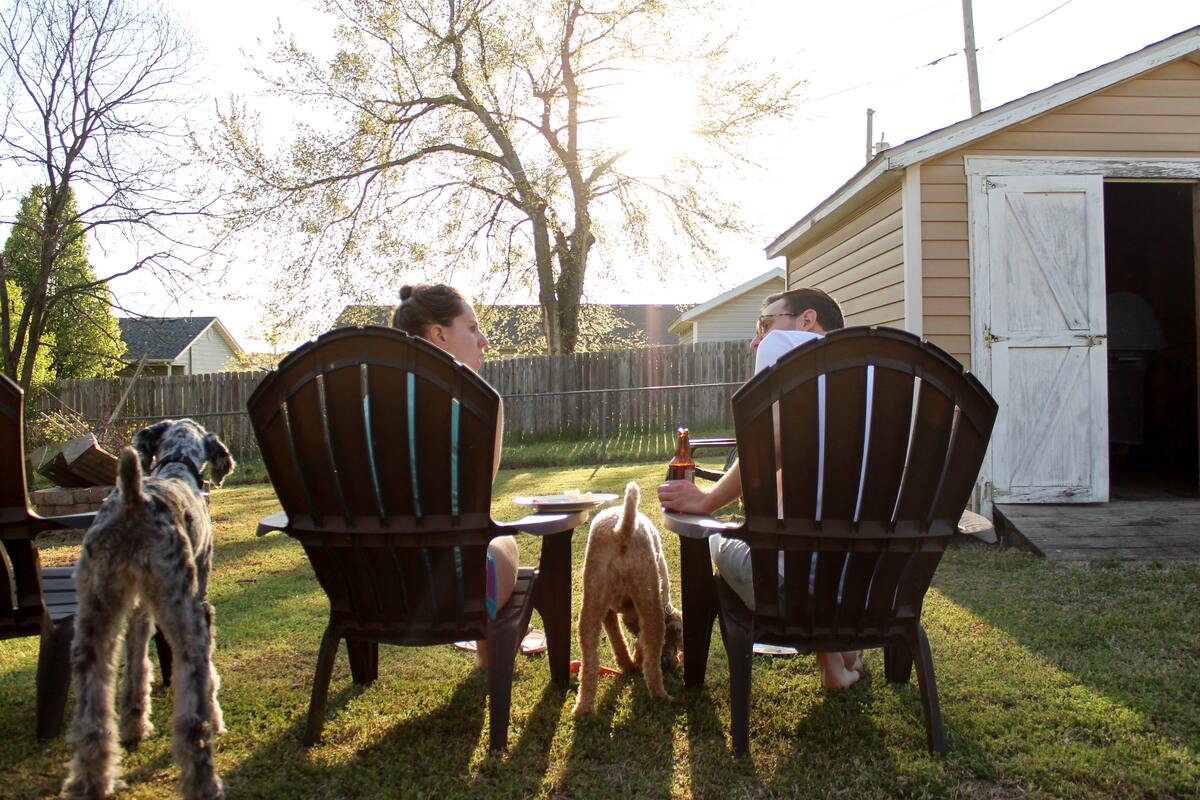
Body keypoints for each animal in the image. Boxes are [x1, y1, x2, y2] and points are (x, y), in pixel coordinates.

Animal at [62, 419, 235, 800]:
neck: (176, 466)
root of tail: (133, 501)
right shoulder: (200, 604)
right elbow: (209, 679)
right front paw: (217, 719)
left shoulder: (140, 614)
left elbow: (138, 667)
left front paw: (135, 723)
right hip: (185, 615)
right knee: (191, 714)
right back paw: (204, 783)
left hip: (95, 618)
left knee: (91, 713)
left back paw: (91, 780)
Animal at [573, 479, 681, 714]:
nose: (674, 661)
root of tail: (622, 529)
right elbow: (641, 643)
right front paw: (635, 664)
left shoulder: (608, 612)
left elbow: (619, 640)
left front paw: (627, 665)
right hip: (650, 599)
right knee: (651, 656)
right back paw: (662, 696)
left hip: (591, 604)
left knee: (589, 661)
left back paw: (583, 707)